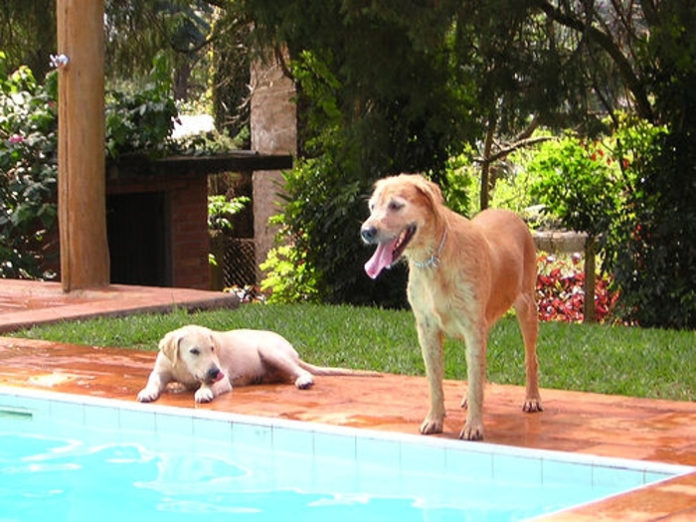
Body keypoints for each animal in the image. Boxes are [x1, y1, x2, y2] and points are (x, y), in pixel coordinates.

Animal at [138, 320, 378, 402]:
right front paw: (147, 392)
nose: (215, 372)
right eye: (194, 351)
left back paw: (303, 380)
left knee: (301, 372)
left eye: (213, 349)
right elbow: (153, 380)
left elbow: (209, 385)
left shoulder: (222, 378)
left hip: (269, 350)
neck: (184, 369)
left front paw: (203, 392)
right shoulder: (161, 369)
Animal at [362, 174, 540, 438]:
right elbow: (436, 382)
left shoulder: (473, 328)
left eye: (395, 205)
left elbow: (475, 381)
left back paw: (532, 398)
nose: (366, 231)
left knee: (530, 358)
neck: (434, 259)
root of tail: (509, 213)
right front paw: (435, 419)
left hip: (526, 307)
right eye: (372, 207)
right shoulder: (427, 330)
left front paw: (473, 425)